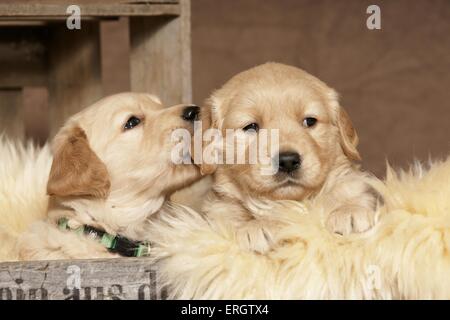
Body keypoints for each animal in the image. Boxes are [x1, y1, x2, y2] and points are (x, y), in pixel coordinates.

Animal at [199, 62, 378, 252]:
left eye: (309, 121)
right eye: (251, 127)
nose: (288, 161)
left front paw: (349, 211)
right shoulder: (217, 208)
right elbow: (230, 213)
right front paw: (257, 226)